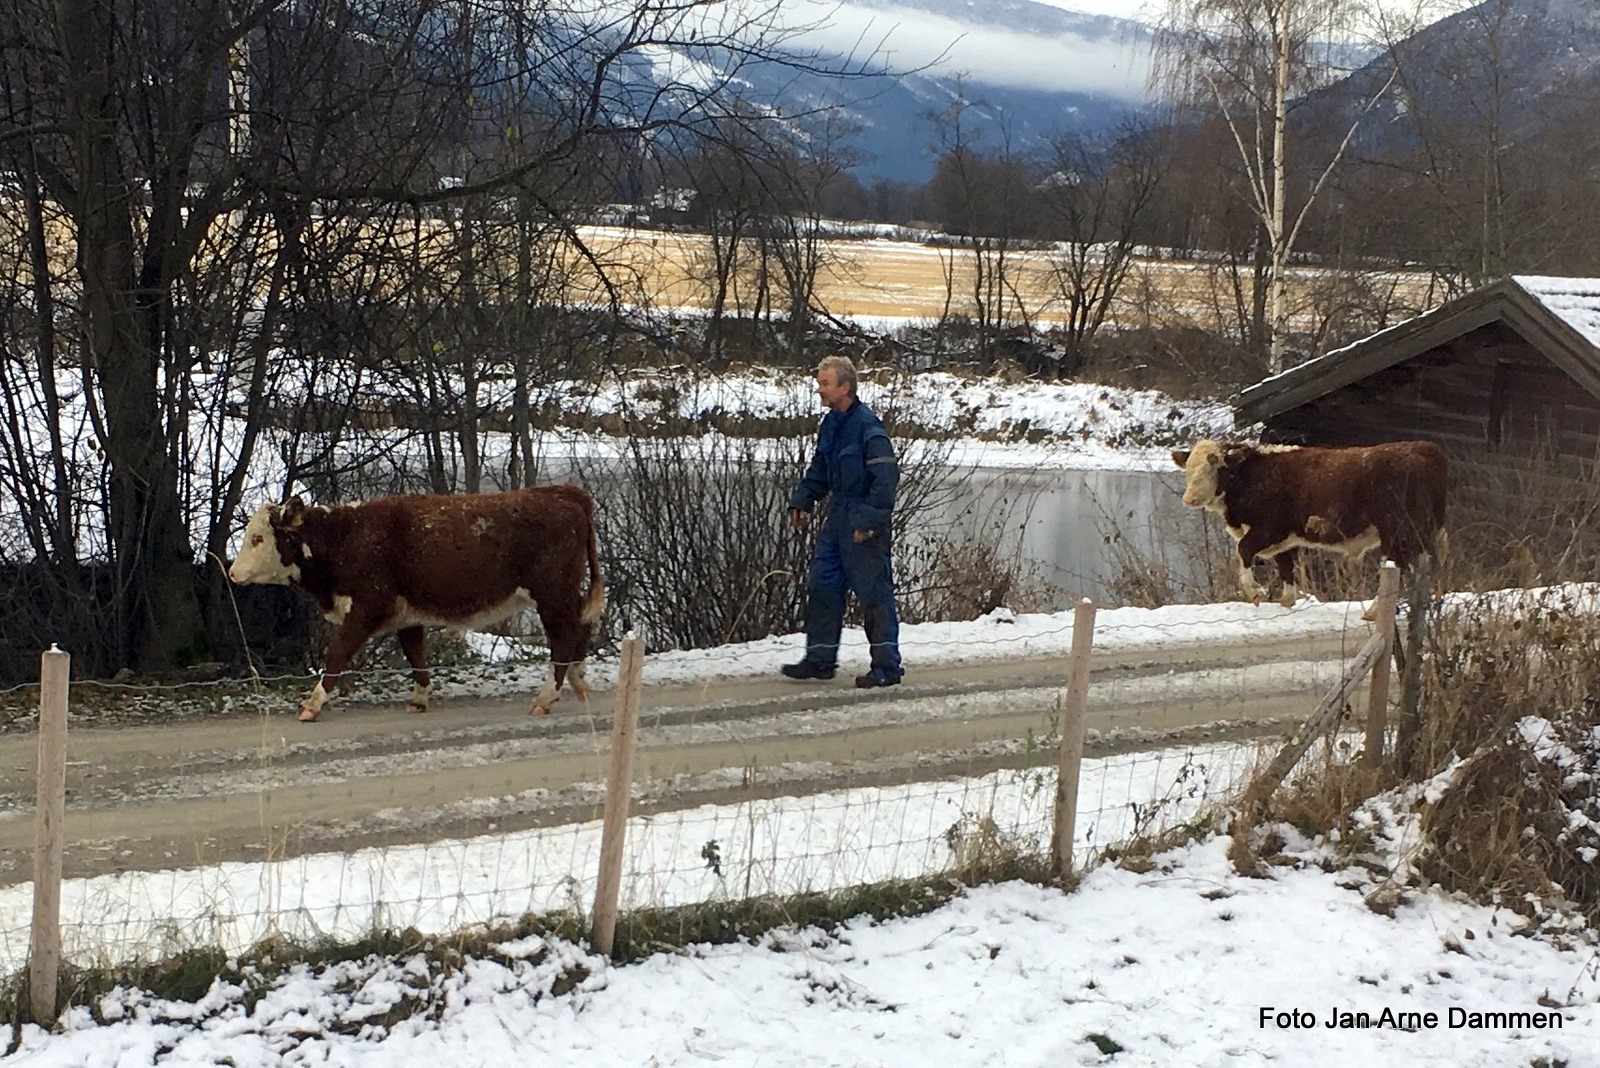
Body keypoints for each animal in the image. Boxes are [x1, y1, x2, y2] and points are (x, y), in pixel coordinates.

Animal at [224, 486, 601, 722]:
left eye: (258, 538)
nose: (232, 572)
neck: (347, 537)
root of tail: (563, 492)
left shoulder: (367, 607)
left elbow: (337, 654)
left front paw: (312, 705)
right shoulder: (407, 616)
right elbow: (415, 655)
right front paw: (419, 699)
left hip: (552, 596)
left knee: (564, 639)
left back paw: (546, 698)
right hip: (564, 597)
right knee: (580, 631)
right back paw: (579, 684)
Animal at [1164, 441, 1452, 604]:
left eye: (1215, 466)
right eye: (1188, 470)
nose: (1189, 498)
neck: (1251, 476)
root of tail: (1423, 448)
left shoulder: (1268, 529)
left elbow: (1243, 550)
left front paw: (1254, 592)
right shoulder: (1284, 541)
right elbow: (1286, 570)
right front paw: (1287, 601)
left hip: (1398, 531)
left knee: (1404, 568)